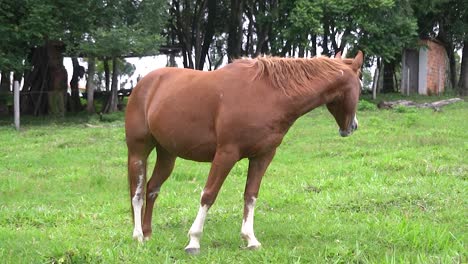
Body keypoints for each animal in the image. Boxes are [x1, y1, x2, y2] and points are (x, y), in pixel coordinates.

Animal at [123, 50, 362, 255]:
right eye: (359, 84)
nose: (352, 127)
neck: (268, 94)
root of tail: (144, 84)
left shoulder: (262, 156)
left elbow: (251, 195)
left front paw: (250, 239)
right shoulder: (226, 154)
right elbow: (208, 195)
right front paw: (194, 241)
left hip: (167, 154)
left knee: (152, 188)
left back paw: (148, 234)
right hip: (138, 151)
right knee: (137, 192)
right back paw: (137, 236)